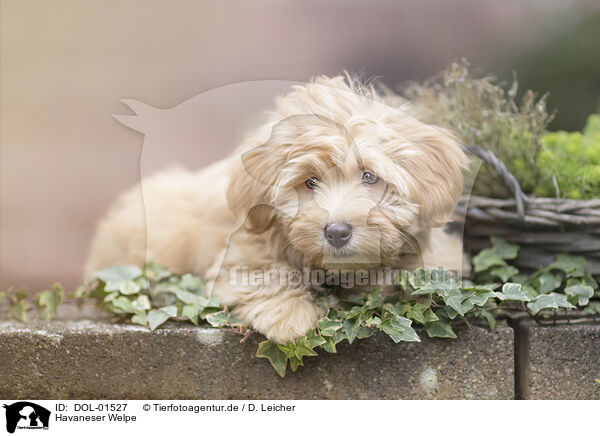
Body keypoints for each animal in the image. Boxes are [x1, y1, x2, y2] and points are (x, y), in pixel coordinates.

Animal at [84, 74, 468, 344]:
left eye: (369, 176)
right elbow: (263, 272)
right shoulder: (239, 252)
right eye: (310, 181)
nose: (337, 232)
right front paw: (292, 318)